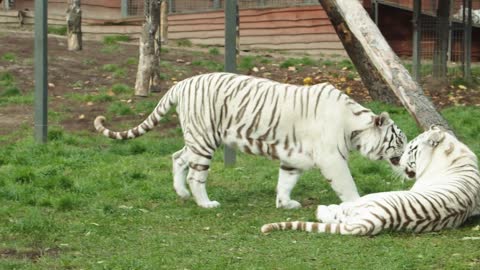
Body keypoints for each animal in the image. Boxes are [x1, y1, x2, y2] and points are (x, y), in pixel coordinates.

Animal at [95, 72, 406, 209]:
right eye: (400, 142)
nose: (409, 163)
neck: (354, 126)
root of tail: (181, 83)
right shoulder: (332, 159)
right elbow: (348, 185)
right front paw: (359, 204)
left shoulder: (294, 158)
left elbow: (285, 182)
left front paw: (285, 204)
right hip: (205, 139)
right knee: (196, 175)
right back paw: (205, 203)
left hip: (197, 138)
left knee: (177, 157)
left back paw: (181, 193)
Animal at [262, 126, 480, 234]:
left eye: (411, 149)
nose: (399, 160)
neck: (455, 153)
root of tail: (377, 219)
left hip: (366, 201)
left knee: (338, 212)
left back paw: (322, 208)